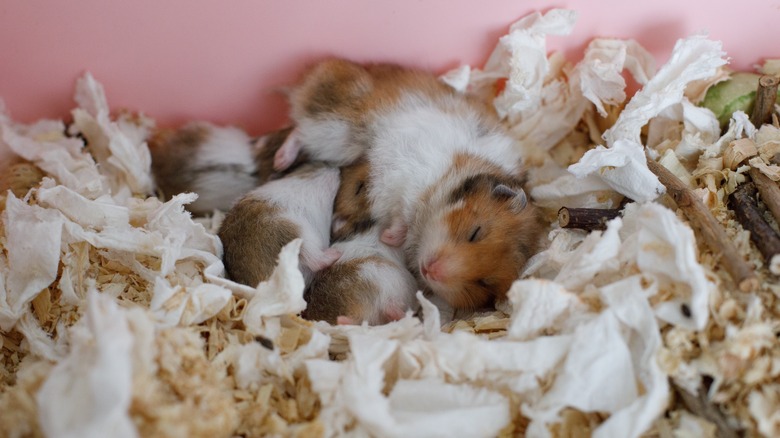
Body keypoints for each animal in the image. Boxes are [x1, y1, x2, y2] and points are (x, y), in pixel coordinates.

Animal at [274, 59, 544, 309]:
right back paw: (280, 160)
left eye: (484, 283)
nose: (432, 271)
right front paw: (390, 237)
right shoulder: (410, 180)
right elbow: (402, 212)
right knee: (298, 130)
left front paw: (387, 236)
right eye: (475, 233)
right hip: (335, 127)